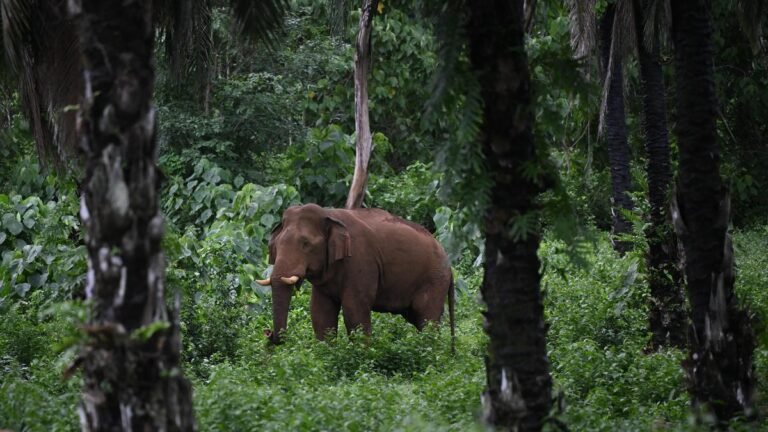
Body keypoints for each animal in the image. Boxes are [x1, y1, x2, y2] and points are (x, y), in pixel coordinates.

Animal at [256, 203, 455, 348]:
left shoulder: (361, 261)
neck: (329, 214)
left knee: (427, 319)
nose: (267, 332)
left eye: (306, 244)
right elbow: (320, 313)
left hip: (434, 279)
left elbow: (354, 311)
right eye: (276, 245)